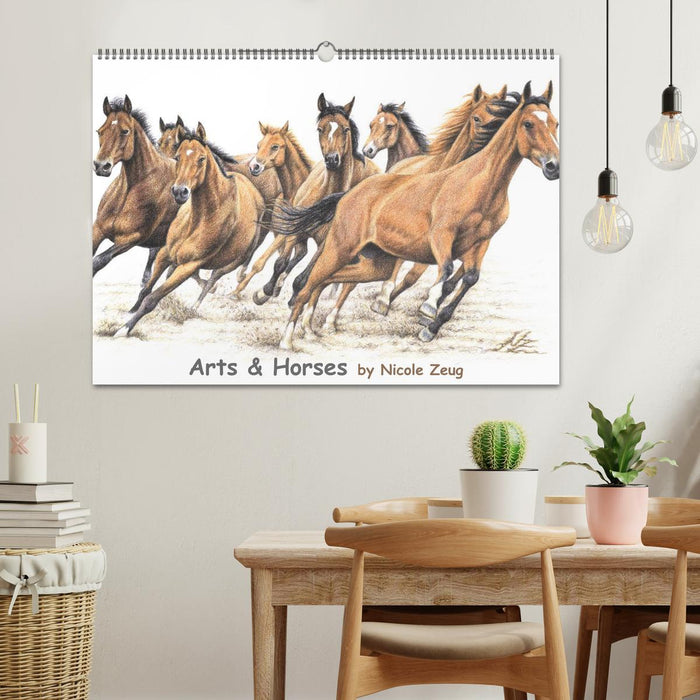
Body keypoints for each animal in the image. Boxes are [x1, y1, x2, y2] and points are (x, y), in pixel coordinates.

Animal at [93, 96, 179, 283]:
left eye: (125, 131)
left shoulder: (132, 238)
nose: (101, 166)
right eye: (99, 131)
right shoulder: (98, 229)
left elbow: (98, 261)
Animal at [114, 123, 264, 337]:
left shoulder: (189, 265)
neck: (198, 219)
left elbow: (153, 298)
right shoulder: (166, 253)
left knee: (212, 279)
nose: (179, 192)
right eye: (178, 157)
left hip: (234, 261)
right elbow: (147, 288)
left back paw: (196, 305)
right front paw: (131, 310)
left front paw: (124, 329)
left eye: (201, 159)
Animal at [251, 94, 380, 306]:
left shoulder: (325, 244)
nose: (332, 159)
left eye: (346, 129)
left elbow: (303, 277)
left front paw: (291, 296)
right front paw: (265, 291)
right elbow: (281, 263)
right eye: (320, 128)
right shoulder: (294, 232)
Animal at [277, 81, 559, 351]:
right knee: (307, 284)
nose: (553, 166)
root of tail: (348, 194)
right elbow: (445, 271)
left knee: (327, 280)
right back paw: (287, 340)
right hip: (339, 248)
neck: (478, 184)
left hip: (374, 263)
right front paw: (429, 306)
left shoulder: (480, 245)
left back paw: (311, 327)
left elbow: (468, 278)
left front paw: (430, 328)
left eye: (555, 123)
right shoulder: (441, 236)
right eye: (528, 123)